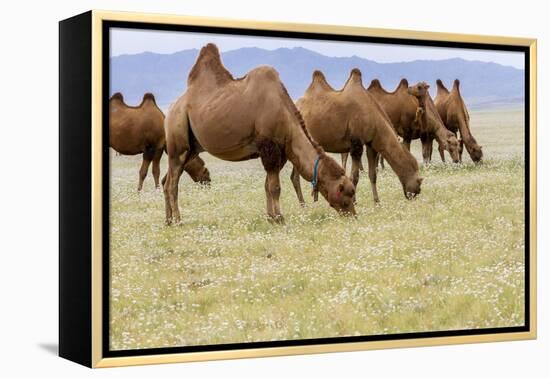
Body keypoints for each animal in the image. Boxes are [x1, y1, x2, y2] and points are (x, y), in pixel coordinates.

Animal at [163, 43, 358, 224]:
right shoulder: (269, 148)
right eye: (345, 193)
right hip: (177, 137)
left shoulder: (279, 152)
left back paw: (168, 221)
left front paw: (270, 217)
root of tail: (171, 108)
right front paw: (279, 218)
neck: (285, 118)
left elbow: (267, 186)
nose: (353, 216)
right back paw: (178, 220)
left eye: (352, 193)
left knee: (167, 181)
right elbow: (275, 188)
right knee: (172, 184)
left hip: (192, 148)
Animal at [294, 68, 426, 204]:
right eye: (418, 179)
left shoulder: (371, 143)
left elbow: (372, 174)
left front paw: (377, 201)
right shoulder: (356, 144)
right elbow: (354, 177)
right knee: (295, 177)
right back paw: (303, 204)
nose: (416, 192)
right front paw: (354, 201)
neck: (373, 118)